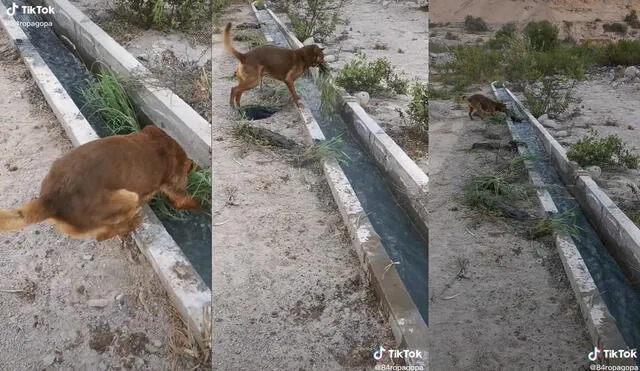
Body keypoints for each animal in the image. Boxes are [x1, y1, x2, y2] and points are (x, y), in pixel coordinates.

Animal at [0, 125, 200, 241]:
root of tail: (50, 200)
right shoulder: (176, 188)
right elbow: (190, 202)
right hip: (128, 197)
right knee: (104, 235)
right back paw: (132, 222)